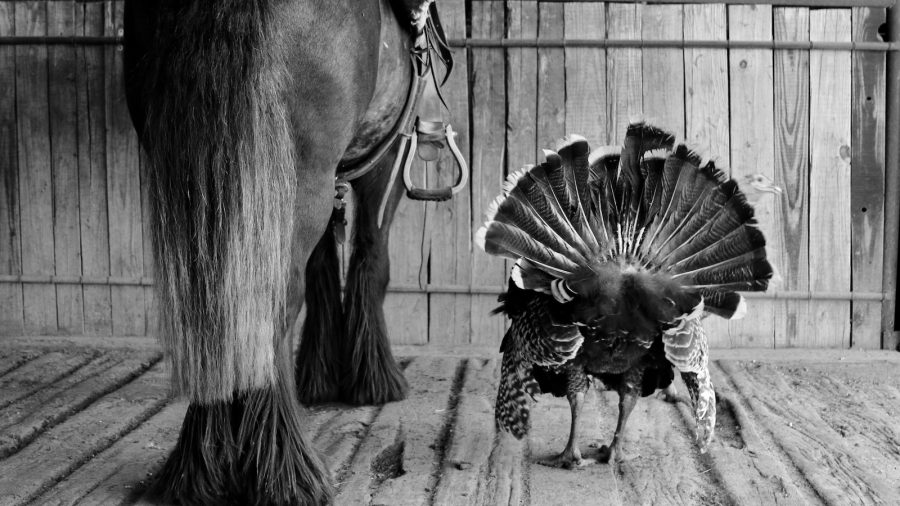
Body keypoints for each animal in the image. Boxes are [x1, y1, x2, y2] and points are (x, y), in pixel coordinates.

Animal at [123, 0, 453, 503]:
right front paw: (375, 378)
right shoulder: (388, 155)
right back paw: (285, 474)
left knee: (217, 317)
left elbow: (324, 268)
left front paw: (320, 374)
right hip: (298, 181)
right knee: (271, 307)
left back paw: (202, 468)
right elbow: (370, 260)